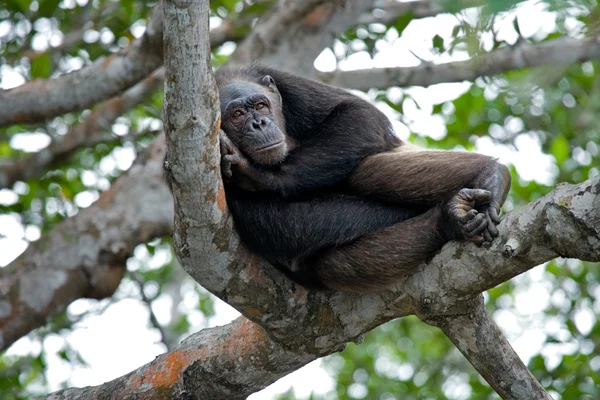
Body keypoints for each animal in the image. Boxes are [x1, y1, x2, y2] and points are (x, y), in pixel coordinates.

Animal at [213, 65, 508, 290]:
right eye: (237, 115)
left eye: (260, 105)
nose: (258, 124)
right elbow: (288, 224)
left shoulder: (289, 84)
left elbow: (357, 113)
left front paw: (262, 175)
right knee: (332, 265)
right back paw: (451, 218)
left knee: (362, 169)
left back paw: (491, 176)